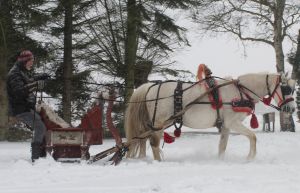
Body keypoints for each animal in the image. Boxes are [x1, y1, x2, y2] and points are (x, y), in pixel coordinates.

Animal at [125, 73, 296, 161]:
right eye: (286, 89)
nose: (292, 109)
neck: (240, 91)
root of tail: (151, 87)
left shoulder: (225, 126)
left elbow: (222, 146)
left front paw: (220, 161)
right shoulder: (232, 122)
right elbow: (253, 136)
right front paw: (250, 157)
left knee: (143, 140)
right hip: (159, 123)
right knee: (153, 143)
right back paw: (158, 162)